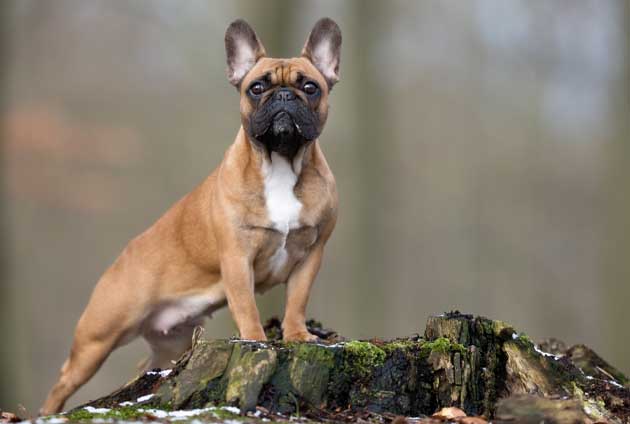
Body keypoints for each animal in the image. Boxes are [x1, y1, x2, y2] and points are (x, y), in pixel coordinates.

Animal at [40, 17, 340, 414]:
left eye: (310, 87)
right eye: (257, 88)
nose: (284, 96)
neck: (279, 162)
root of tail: (123, 256)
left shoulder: (311, 254)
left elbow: (296, 301)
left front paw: (297, 335)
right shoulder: (236, 258)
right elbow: (246, 306)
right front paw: (256, 340)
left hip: (172, 345)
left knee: (147, 367)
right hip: (97, 336)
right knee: (62, 381)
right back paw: (46, 412)